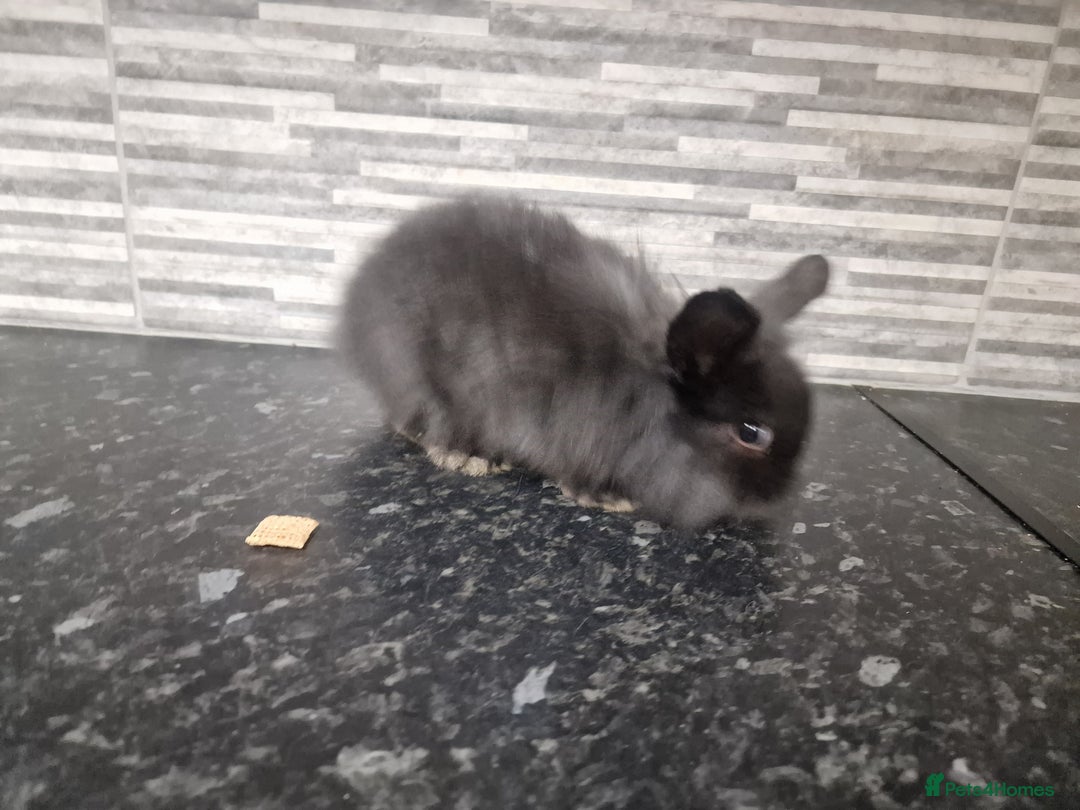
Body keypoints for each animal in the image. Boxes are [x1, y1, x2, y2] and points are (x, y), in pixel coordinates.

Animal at [338, 194, 828, 531]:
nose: (776, 498)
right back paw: (466, 454)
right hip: (415, 370)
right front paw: (607, 498)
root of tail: (361, 287)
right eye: (752, 433)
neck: (644, 392)